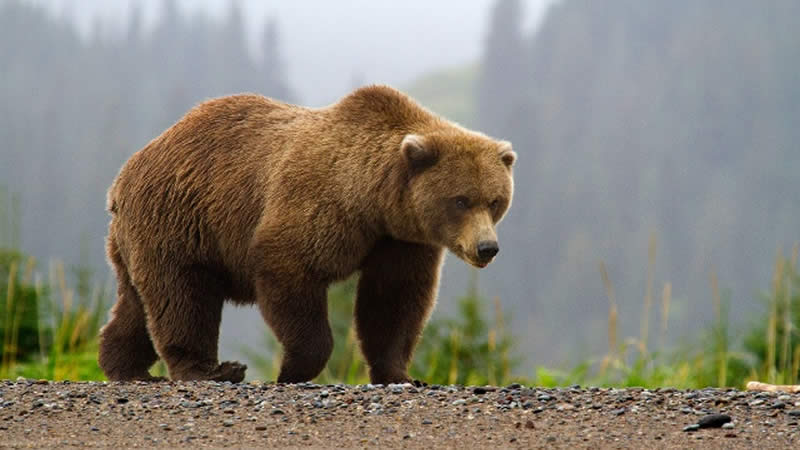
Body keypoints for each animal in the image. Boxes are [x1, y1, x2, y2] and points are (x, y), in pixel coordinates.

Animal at [98, 85, 516, 384]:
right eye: (460, 200)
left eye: (495, 201)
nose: (487, 247)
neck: (373, 200)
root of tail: (123, 176)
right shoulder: (319, 206)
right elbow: (290, 270)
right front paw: (292, 369)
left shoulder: (400, 240)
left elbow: (394, 300)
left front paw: (401, 374)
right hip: (180, 220)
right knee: (183, 296)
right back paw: (210, 370)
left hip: (142, 238)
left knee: (137, 303)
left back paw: (124, 366)